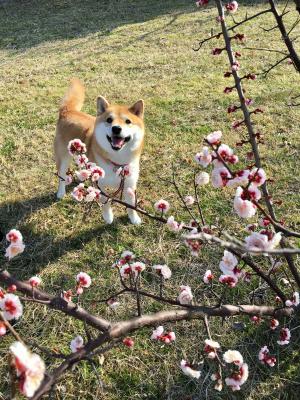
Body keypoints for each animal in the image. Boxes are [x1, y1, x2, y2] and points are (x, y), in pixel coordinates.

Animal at [54, 79, 145, 225]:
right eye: (109, 120)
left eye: (128, 121)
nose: (116, 128)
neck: (117, 162)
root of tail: (68, 111)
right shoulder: (101, 185)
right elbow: (106, 203)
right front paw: (108, 217)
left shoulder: (129, 184)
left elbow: (131, 205)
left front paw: (134, 218)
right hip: (63, 158)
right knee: (61, 176)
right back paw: (61, 192)